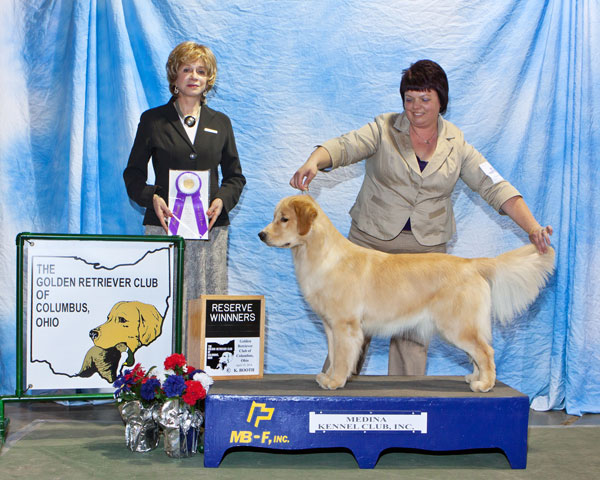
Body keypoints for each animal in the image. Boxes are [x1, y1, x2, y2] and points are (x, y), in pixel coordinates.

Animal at [256, 193, 552, 392]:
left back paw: (485, 384)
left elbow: (341, 357)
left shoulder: (345, 325)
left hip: (457, 325)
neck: (319, 254)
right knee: (478, 353)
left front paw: (336, 381)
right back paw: (475, 377)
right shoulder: (330, 326)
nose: (261, 235)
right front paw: (327, 377)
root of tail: (471, 263)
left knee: (486, 351)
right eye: (275, 217)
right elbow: (332, 354)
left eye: (284, 219)